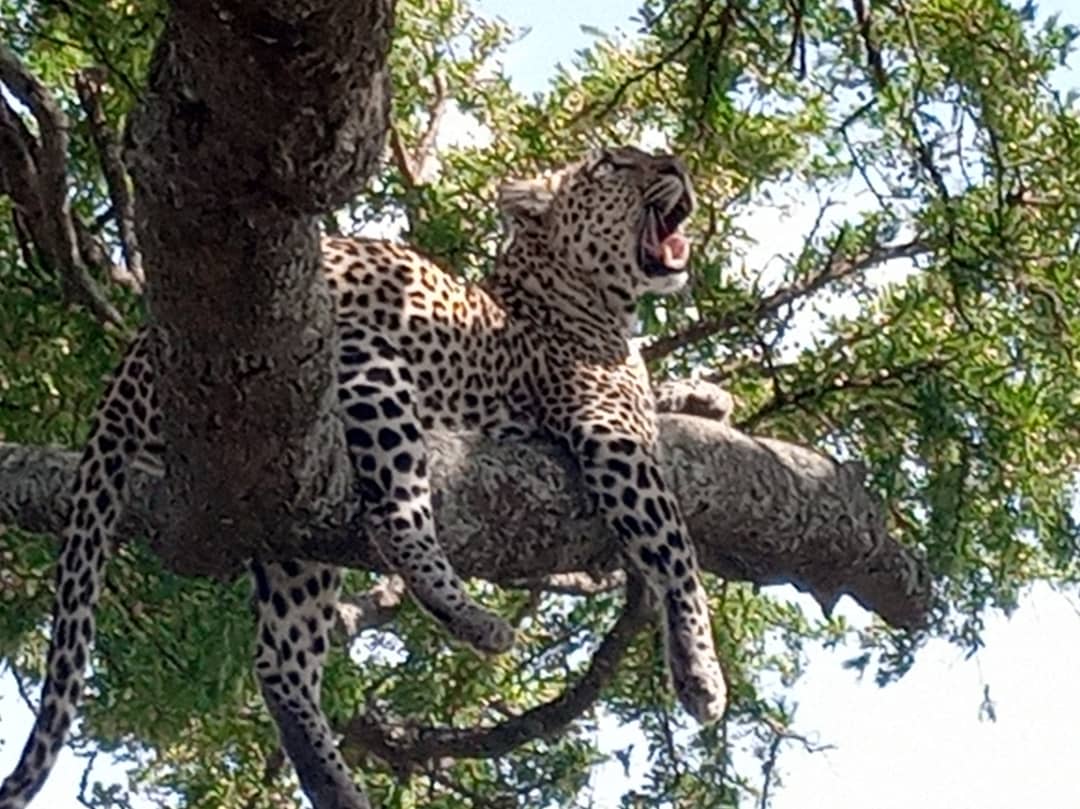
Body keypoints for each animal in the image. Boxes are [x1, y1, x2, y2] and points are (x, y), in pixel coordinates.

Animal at [2, 146, 725, 807]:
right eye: (612, 166)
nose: (676, 164)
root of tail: (134, 353)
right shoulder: (612, 432)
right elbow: (675, 552)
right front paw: (700, 671)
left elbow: (665, 403)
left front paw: (706, 396)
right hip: (370, 371)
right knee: (396, 520)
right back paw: (474, 620)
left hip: (290, 508)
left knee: (280, 659)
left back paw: (336, 785)